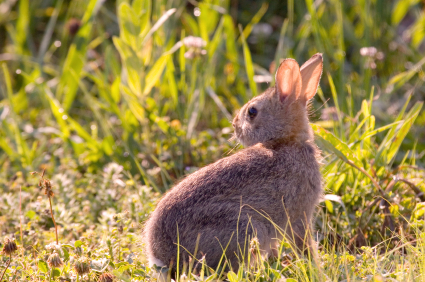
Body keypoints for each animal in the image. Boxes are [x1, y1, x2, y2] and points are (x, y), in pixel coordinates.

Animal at [144, 53, 322, 274]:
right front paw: (315, 268)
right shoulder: (299, 216)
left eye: (252, 112)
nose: (235, 125)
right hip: (247, 227)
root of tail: (161, 256)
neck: (287, 142)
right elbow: (303, 245)